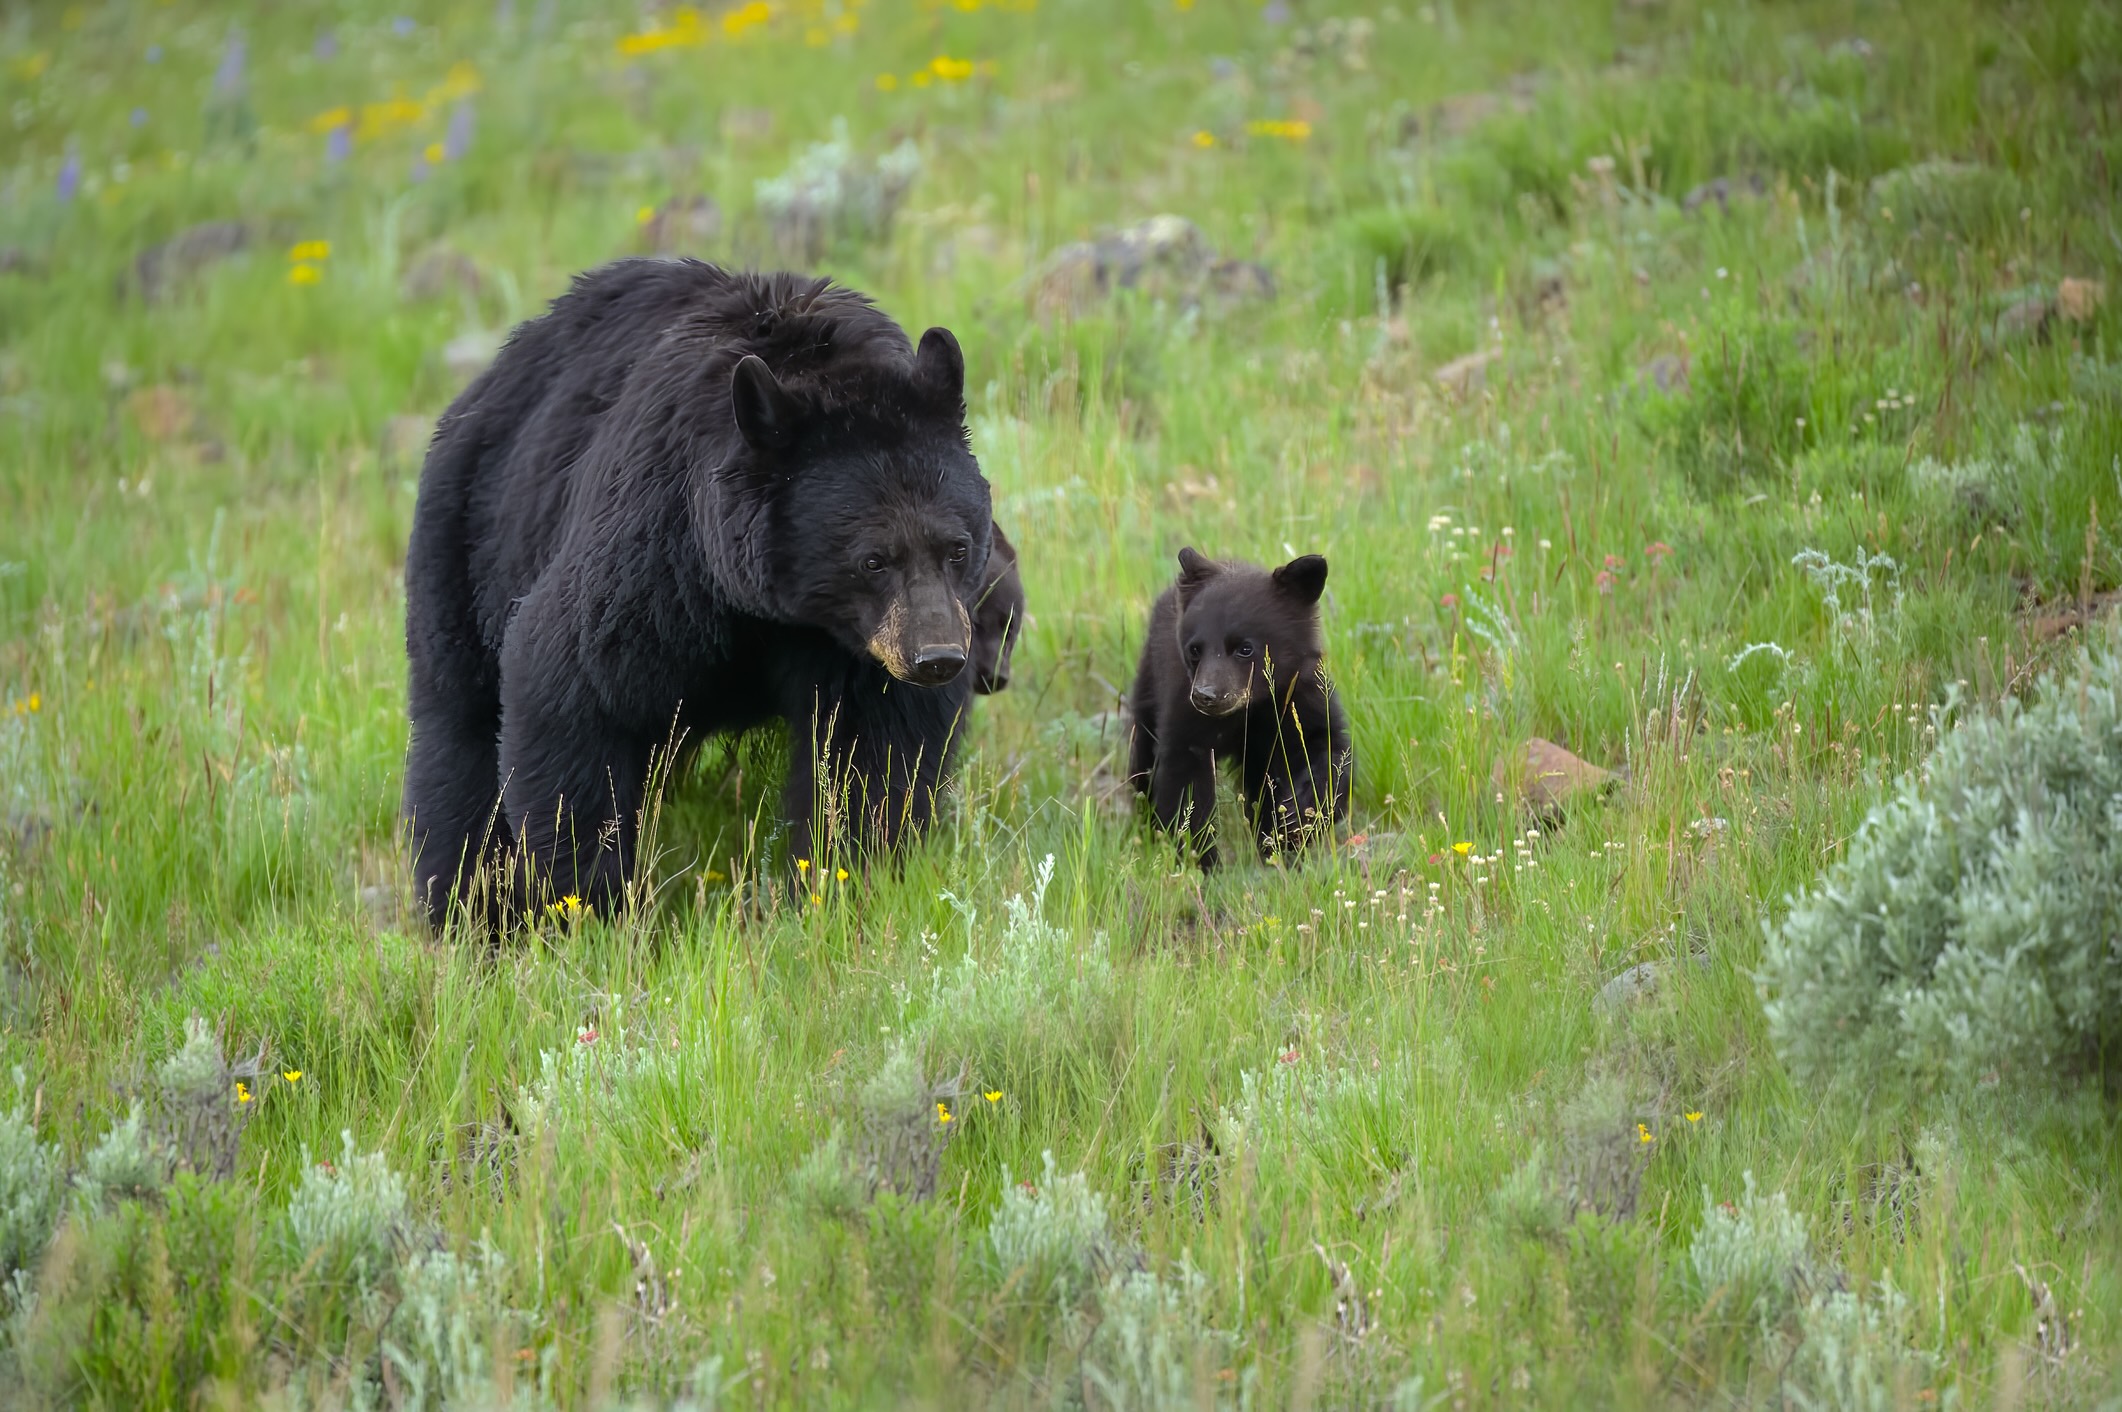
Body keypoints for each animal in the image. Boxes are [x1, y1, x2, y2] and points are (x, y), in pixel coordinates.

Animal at [402, 259, 994, 927]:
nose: (937, 658)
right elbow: (569, 690)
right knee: (460, 740)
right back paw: (469, 912)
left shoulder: (855, 648)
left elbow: (872, 753)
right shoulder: (655, 554)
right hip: (473, 545)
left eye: (957, 547)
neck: (768, 604)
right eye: (872, 559)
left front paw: (841, 877)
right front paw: (590, 905)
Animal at [1126, 547, 1352, 869]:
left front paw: (1295, 822)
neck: (1249, 710)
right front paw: (1202, 858)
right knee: (1143, 755)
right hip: (1149, 686)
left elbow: (1323, 750)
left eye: (1245, 648)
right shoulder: (1185, 713)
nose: (1206, 695)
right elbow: (1186, 782)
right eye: (1195, 649)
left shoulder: (1298, 698)